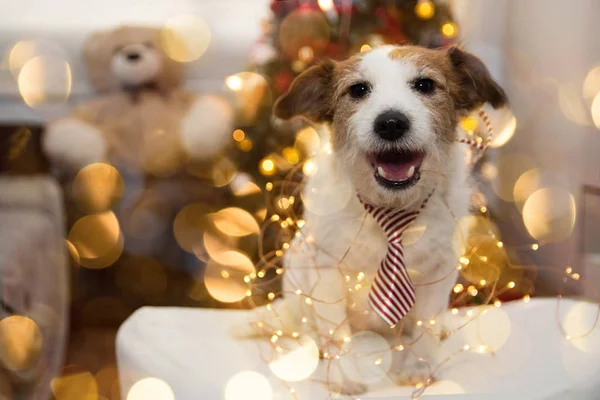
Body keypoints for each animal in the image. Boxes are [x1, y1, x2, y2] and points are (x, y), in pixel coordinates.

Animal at [238, 44, 506, 394]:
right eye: (358, 90)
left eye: (425, 85)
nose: (391, 123)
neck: (391, 209)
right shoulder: (326, 270)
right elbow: (336, 330)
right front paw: (345, 378)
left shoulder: (440, 271)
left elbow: (426, 327)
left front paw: (417, 369)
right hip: (297, 266)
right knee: (306, 322)